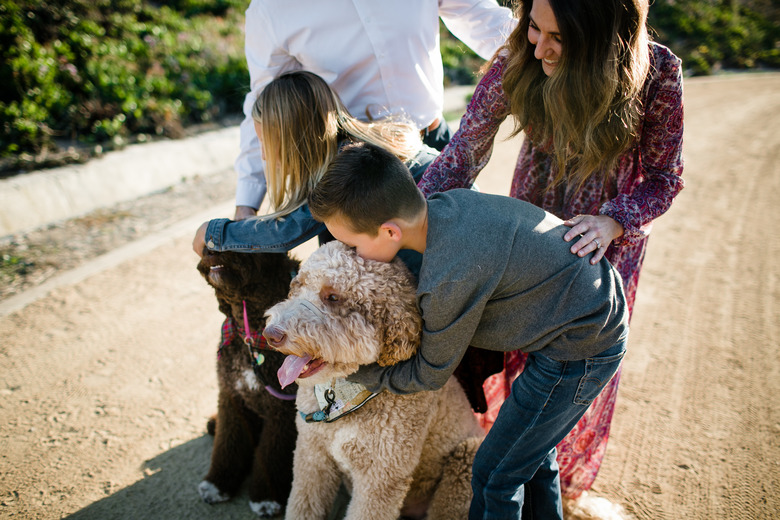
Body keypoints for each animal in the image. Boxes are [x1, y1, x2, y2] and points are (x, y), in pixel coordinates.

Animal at [264, 243, 482, 520]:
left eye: (333, 297)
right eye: (298, 285)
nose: (270, 334)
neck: (340, 398)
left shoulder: (380, 476)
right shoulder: (311, 456)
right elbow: (304, 505)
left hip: (467, 459)